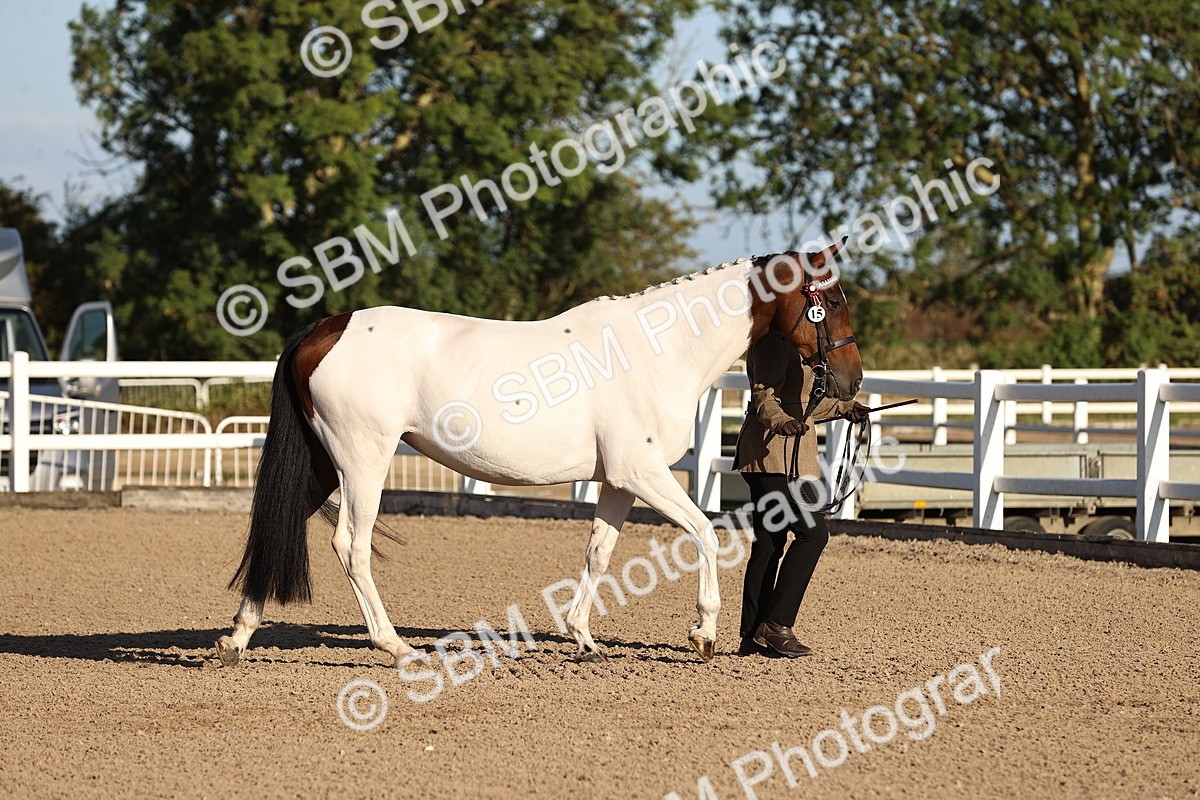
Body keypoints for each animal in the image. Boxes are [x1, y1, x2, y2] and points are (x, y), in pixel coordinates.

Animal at [215, 239, 863, 666]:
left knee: (281, 526)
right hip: (362, 461)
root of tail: (326, 328)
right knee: (350, 544)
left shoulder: (618, 481)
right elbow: (704, 532)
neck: (657, 349)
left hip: (327, 464)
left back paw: (237, 638)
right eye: (828, 302)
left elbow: (598, 552)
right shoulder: (643, 472)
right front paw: (703, 634)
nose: (853, 382)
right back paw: (393, 644)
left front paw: (583, 638)